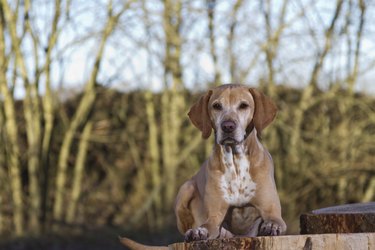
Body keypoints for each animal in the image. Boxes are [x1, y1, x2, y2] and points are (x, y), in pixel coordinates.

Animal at [122, 83, 286, 248]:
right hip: (185, 189)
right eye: (217, 106)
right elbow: (207, 226)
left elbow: (274, 221)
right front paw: (199, 232)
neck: (236, 162)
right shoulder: (214, 216)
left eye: (243, 105)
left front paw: (271, 226)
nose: (228, 126)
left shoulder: (272, 211)